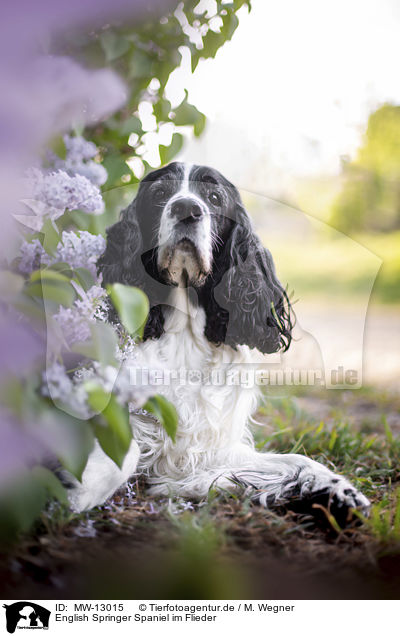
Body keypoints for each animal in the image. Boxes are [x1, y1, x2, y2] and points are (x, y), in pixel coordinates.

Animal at [67, 160, 370, 520]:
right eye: (160, 193)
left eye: (213, 197)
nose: (187, 209)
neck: (184, 334)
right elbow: (124, 451)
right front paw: (81, 488)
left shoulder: (207, 450)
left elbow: (296, 461)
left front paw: (340, 491)